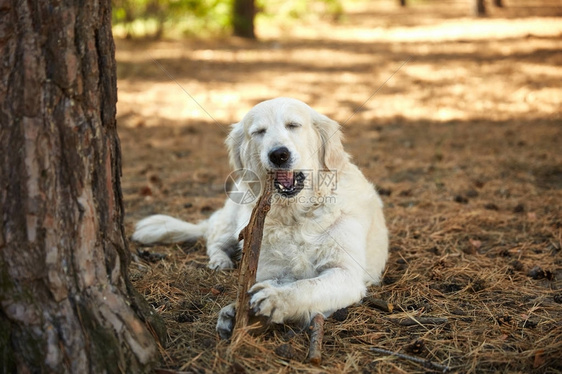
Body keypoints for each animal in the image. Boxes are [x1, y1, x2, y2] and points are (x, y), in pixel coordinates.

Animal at [131, 97, 388, 338]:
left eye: (293, 125)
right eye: (259, 132)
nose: (279, 155)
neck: (294, 215)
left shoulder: (346, 272)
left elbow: (307, 285)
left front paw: (278, 298)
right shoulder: (268, 268)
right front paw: (235, 311)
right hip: (234, 223)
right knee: (213, 240)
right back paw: (220, 261)